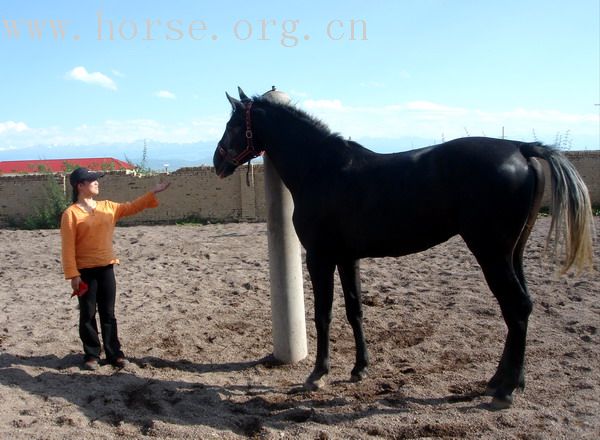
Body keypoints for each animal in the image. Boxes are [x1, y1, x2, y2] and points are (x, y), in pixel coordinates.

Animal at [213, 87, 592, 410]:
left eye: (233, 125)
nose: (217, 162)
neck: (322, 169)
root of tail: (521, 148)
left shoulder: (320, 258)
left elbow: (323, 314)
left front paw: (318, 374)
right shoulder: (347, 258)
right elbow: (354, 310)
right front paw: (359, 369)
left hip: (492, 254)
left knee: (517, 308)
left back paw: (506, 390)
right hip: (513, 254)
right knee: (518, 310)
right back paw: (502, 381)